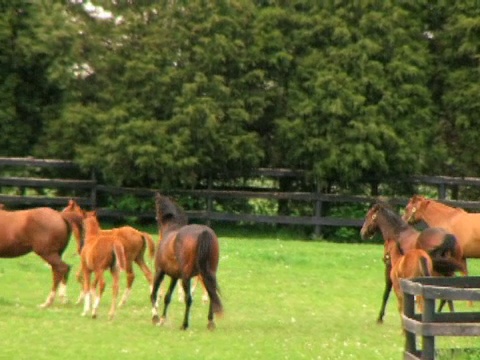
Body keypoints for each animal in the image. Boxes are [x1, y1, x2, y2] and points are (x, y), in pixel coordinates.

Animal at [151, 193, 224, 330]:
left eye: (157, 206)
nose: (155, 218)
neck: (171, 229)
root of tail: (205, 232)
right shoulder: (174, 276)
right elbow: (167, 297)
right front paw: (162, 319)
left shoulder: (160, 272)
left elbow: (153, 294)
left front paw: (155, 317)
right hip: (208, 274)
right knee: (211, 295)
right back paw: (210, 322)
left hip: (186, 277)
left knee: (189, 299)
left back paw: (184, 325)